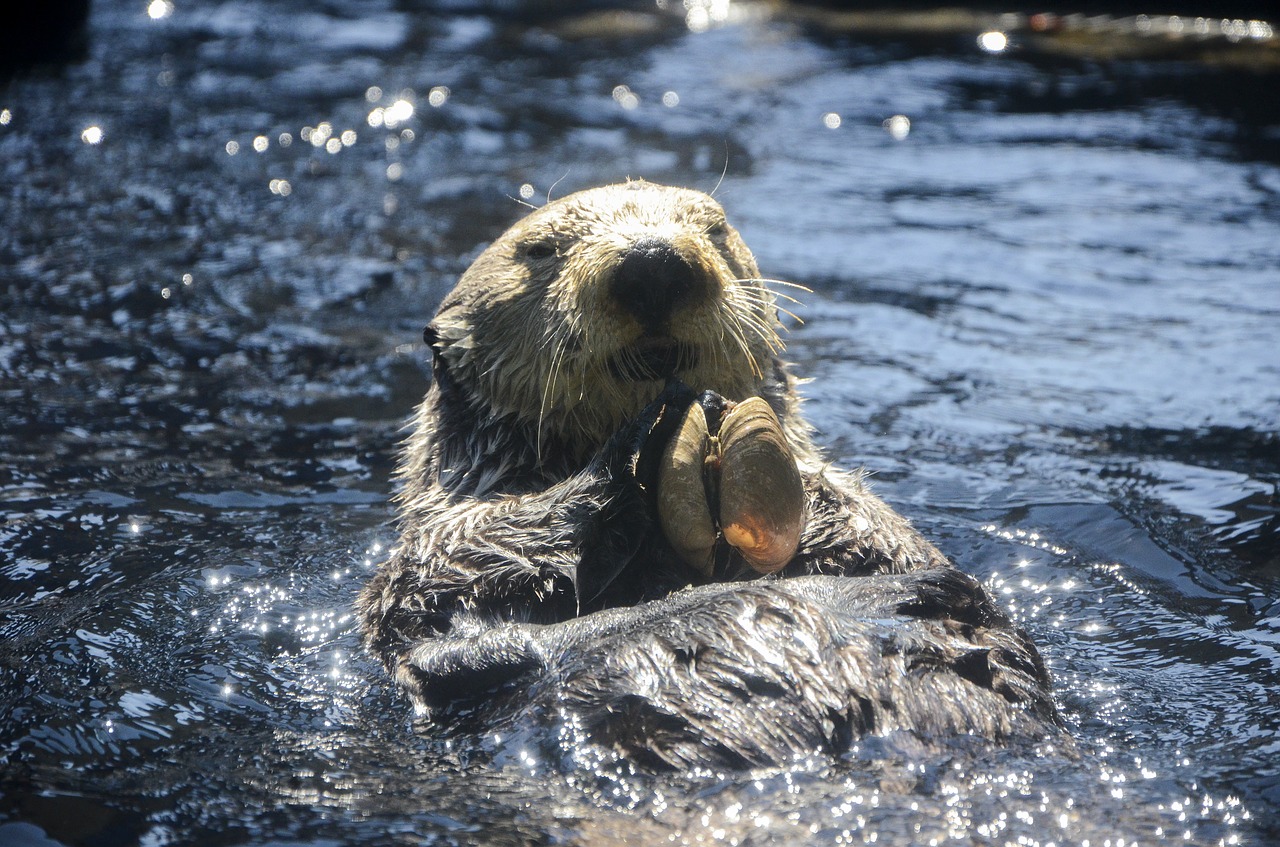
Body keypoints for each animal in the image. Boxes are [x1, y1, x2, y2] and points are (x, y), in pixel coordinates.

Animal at [360, 180, 1059, 767]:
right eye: (540, 250)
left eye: (715, 226)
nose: (652, 262)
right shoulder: (433, 553)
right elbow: (442, 572)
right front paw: (631, 448)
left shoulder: (887, 541)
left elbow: (889, 546)